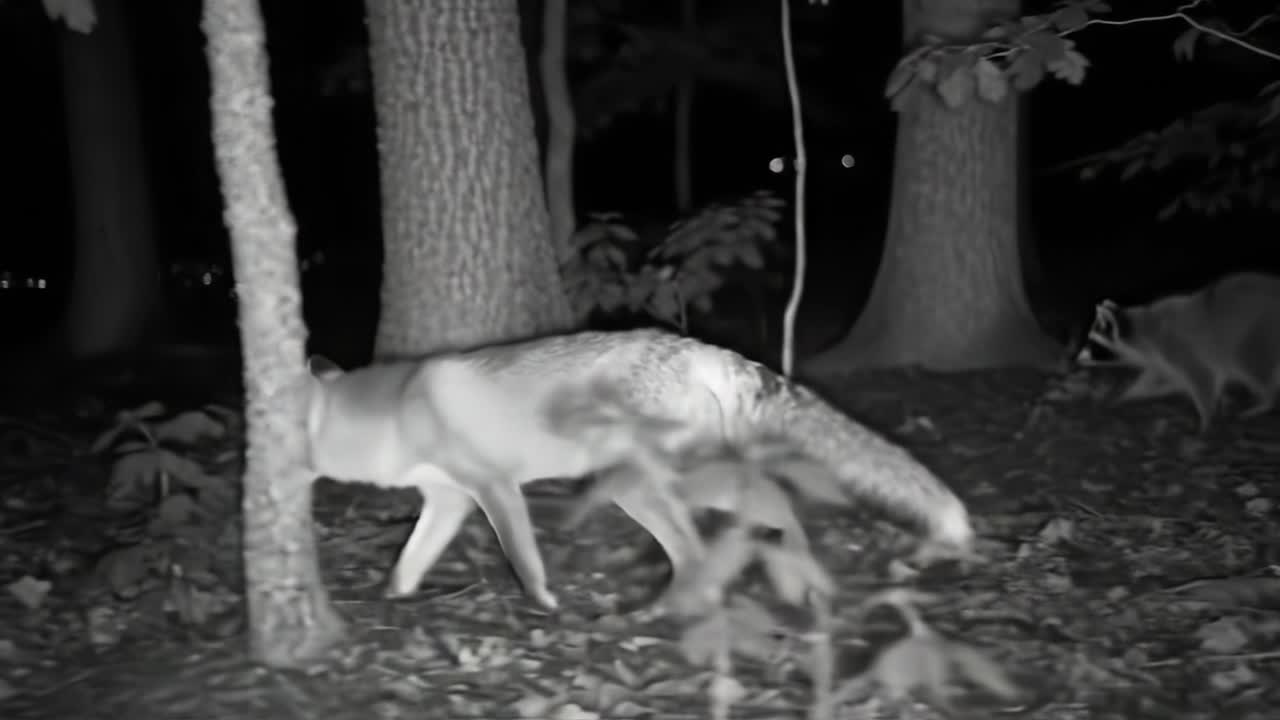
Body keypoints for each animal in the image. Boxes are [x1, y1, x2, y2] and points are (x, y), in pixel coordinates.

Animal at [304, 328, 976, 608]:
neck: (399, 410)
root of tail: (706, 351)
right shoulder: (449, 498)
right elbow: (409, 561)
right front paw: (392, 598)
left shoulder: (493, 487)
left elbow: (522, 557)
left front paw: (545, 604)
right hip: (659, 486)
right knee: (744, 519)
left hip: (653, 485)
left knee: (737, 522)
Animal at [1075, 271, 1280, 432]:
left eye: (1093, 344)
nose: (1077, 358)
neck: (1142, 330)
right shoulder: (1162, 360)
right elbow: (1157, 380)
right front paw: (1126, 395)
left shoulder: (1179, 348)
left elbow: (1204, 379)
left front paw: (1207, 422)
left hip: (1257, 335)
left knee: (1251, 366)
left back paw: (1267, 401)